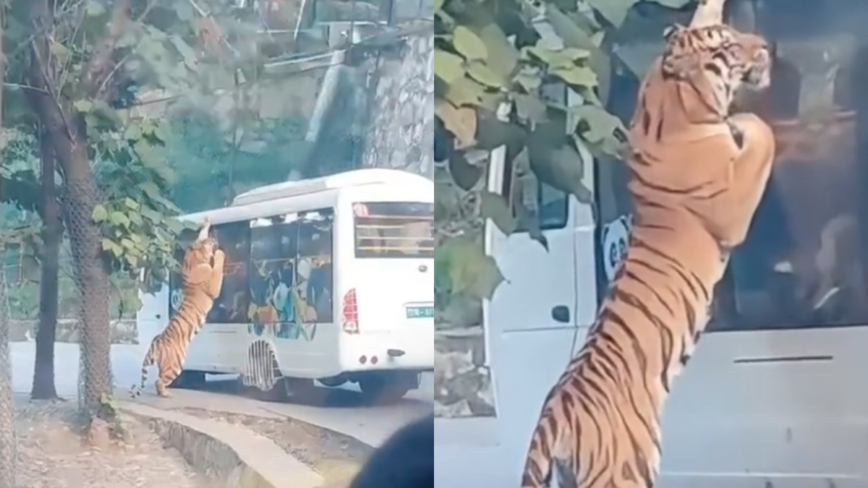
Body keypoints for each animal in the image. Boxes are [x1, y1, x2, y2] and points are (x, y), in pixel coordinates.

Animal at [130, 219, 225, 398]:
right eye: (209, 241)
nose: (215, 240)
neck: (192, 258)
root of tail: (155, 342)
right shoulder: (213, 284)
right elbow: (217, 269)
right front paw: (220, 254)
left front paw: (206, 222)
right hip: (175, 365)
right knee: (159, 380)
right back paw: (166, 394)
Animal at [520, 17, 776, 488]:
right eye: (729, 46)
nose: (765, 47)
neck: (672, 97)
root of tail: (552, 416)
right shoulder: (733, 207)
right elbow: (762, 138)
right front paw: (745, 121)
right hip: (625, 471)